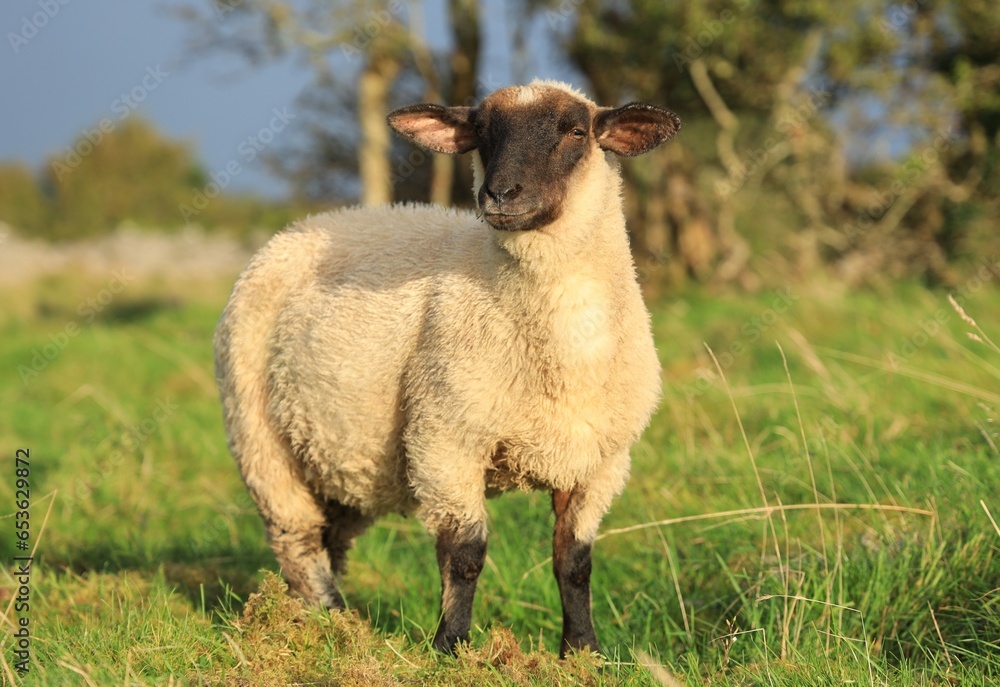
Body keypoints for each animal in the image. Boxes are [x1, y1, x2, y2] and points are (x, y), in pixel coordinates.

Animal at [213, 79, 681, 657]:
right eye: (481, 132)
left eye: (576, 131)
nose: (501, 195)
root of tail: (301, 228)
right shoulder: (446, 439)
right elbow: (464, 554)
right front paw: (453, 647)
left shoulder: (601, 461)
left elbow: (573, 561)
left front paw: (582, 651)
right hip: (258, 435)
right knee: (296, 537)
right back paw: (332, 622)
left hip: (338, 453)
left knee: (329, 535)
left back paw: (321, 620)